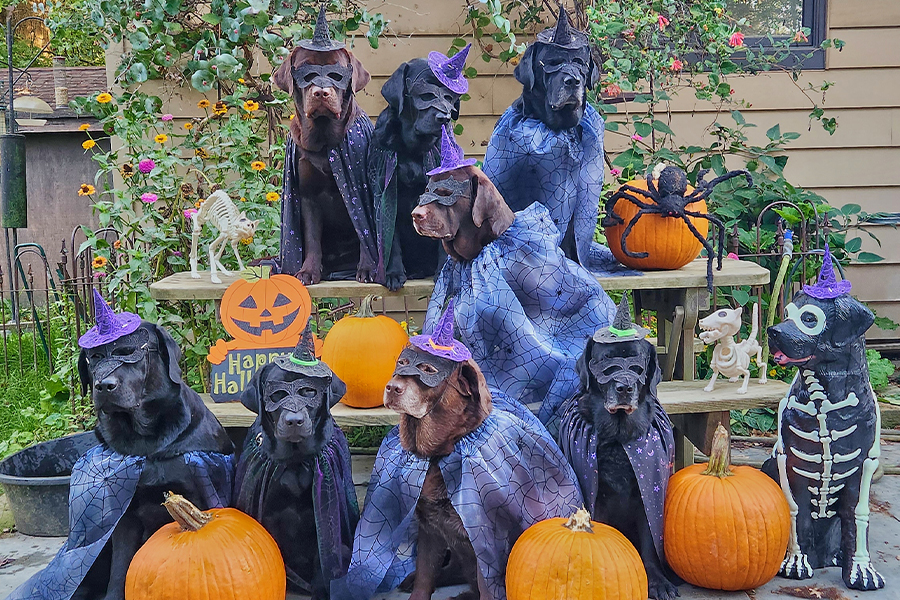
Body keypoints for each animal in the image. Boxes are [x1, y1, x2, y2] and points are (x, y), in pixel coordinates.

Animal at [72, 322, 234, 600]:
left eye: (128, 353)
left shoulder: (196, 493)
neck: (145, 443)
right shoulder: (124, 515)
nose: (104, 386)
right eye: (95, 357)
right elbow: (120, 569)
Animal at [236, 322, 358, 596]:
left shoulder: (323, 530)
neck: (295, 461)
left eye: (308, 392)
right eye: (277, 395)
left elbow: (322, 574)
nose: (294, 421)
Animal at [560, 296, 680, 600]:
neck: (618, 437)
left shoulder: (647, 493)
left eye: (637, 365)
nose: (624, 387)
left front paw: (658, 582)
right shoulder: (597, 498)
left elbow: (649, 545)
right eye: (607, 362)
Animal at [760, 245, 884, 592]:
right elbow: (796, 512)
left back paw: (837, 557)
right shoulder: (789, 461)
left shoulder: (864, 465)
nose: (773, 332)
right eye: (787, 314)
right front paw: (795, 563)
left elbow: (858, 517)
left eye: (809, 318)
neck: (826, 395)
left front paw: (861, 570)